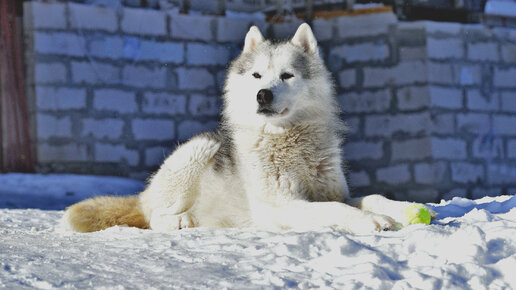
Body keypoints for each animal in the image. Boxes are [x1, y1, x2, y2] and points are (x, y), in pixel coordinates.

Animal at [64, 23, 436, 234]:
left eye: (287, 75)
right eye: (257, 75)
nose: (262, 94)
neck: (287, 142)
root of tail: (144, 193)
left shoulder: (336, 192)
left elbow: (370, 197)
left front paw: (403, 209)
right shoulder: (282, 205)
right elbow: (334, 210)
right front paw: (369, 222)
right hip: (200, 149)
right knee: (155, 216)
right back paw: (183, 221)